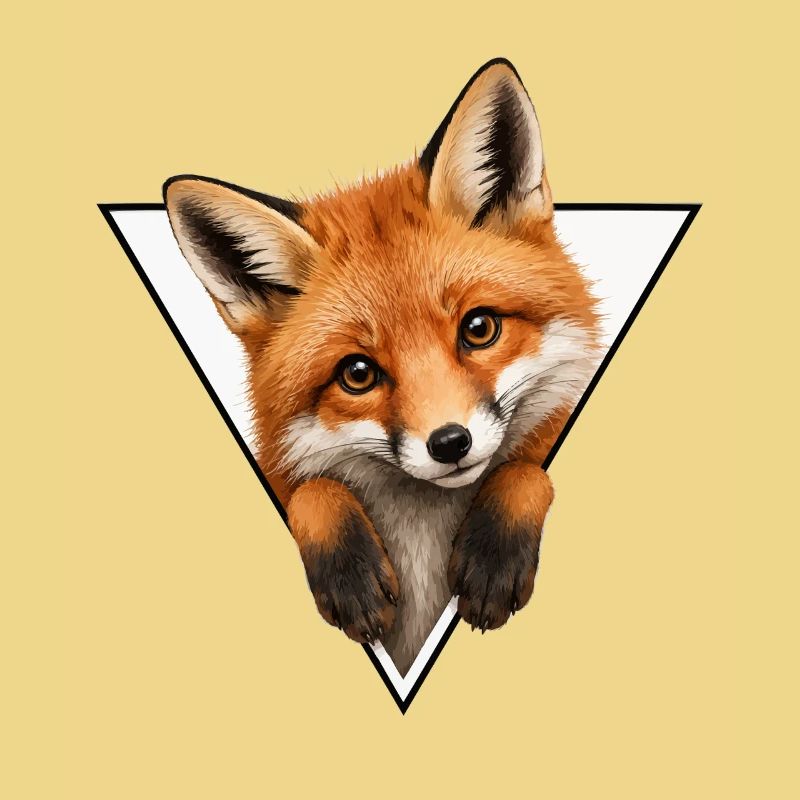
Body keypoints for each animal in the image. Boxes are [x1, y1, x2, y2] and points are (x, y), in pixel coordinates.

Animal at [164, 58, 600, 675]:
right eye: (358, 373)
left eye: (479, 328)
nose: (450, 443)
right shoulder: (283, 472)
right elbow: (310, 491)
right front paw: (349, 572)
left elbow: (527, 470)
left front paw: (494, 552)